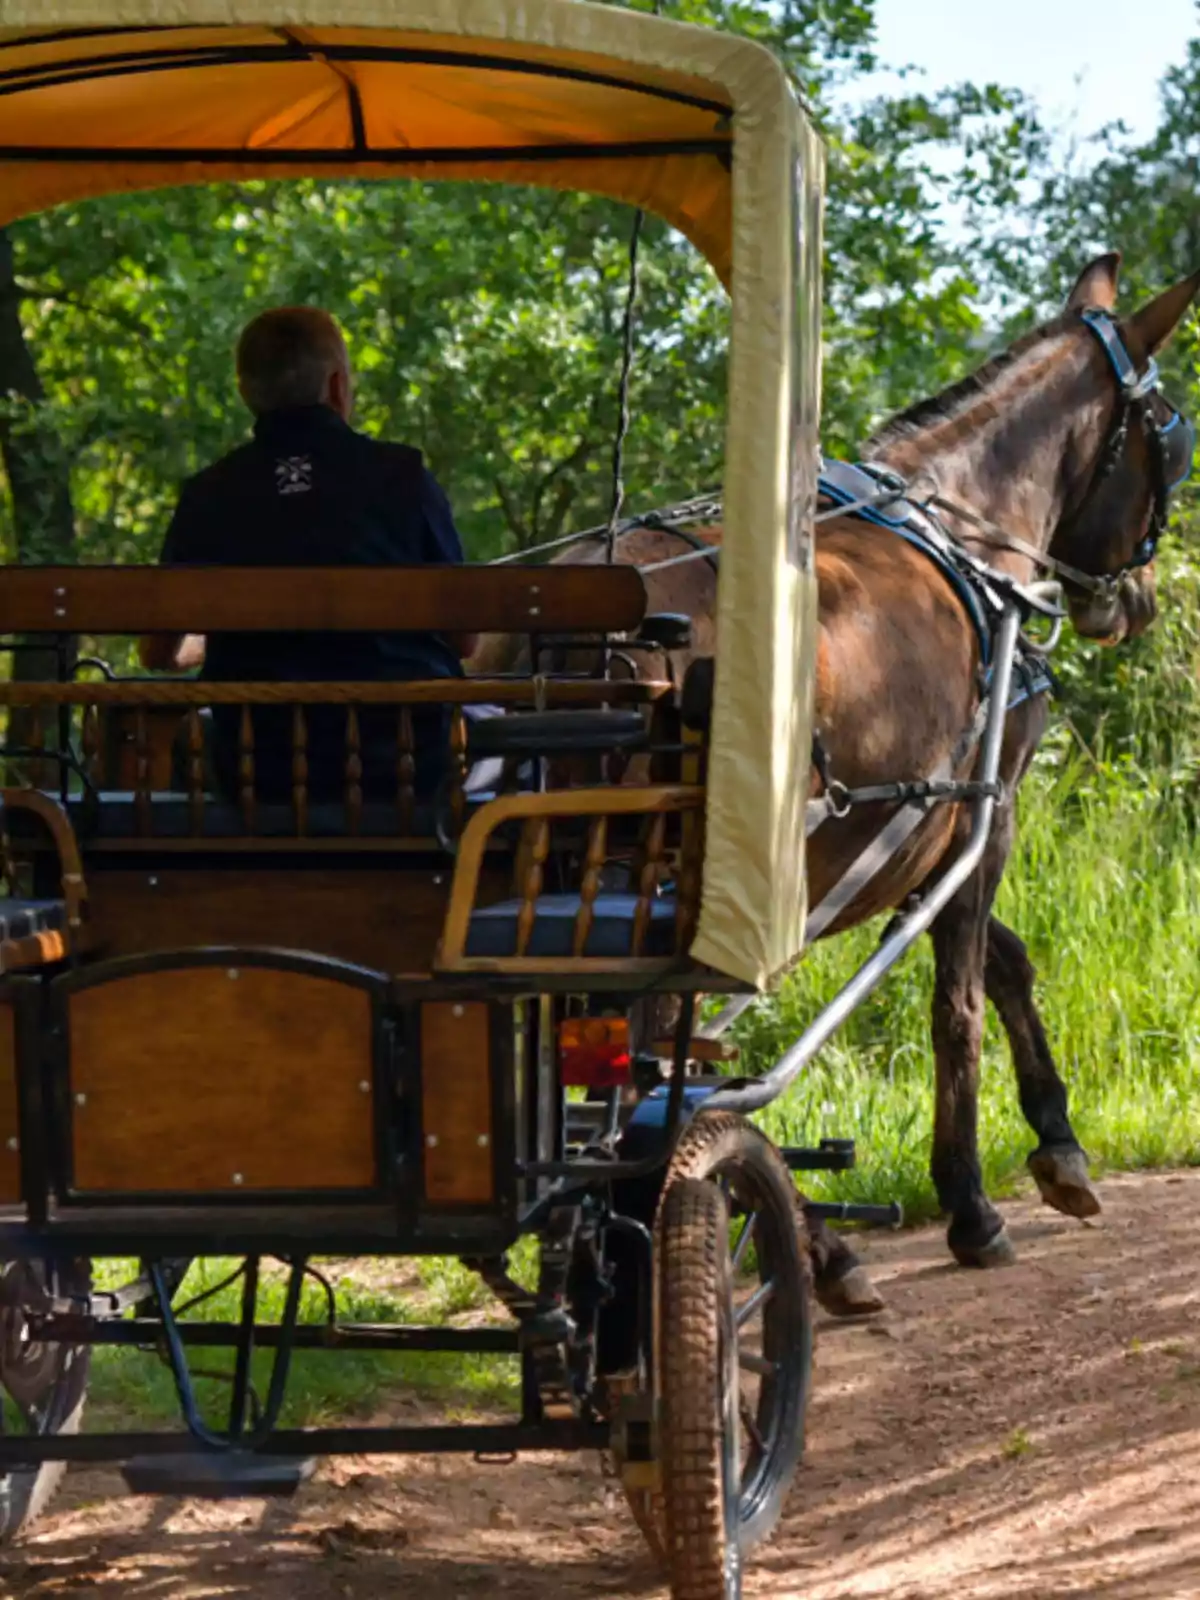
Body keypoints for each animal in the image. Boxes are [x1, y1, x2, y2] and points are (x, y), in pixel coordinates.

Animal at [473, 246, 1200, 1299]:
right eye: (1169, 442)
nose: (1135, 600)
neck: (968, 532)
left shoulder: (928, 830)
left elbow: (1007, 960)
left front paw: (1058, 1143)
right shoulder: (990, 811)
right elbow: (958, 1005)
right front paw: (971, 1204)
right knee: (661, 1071)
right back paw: (784, 1240)